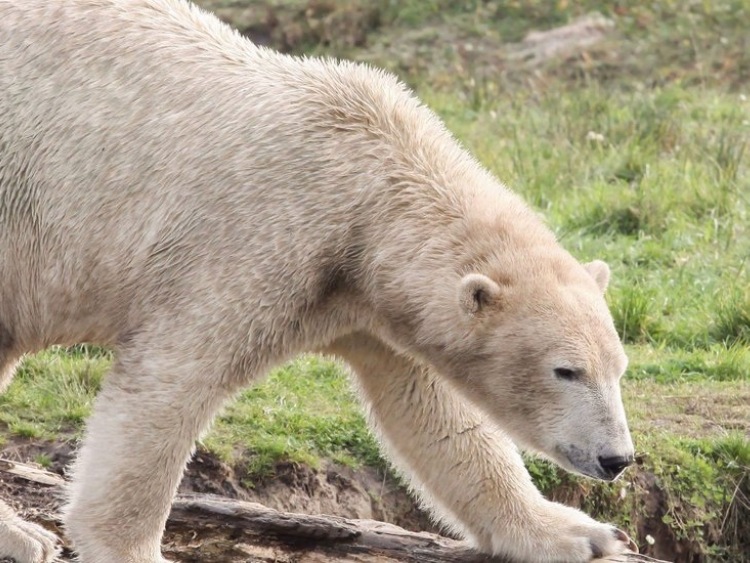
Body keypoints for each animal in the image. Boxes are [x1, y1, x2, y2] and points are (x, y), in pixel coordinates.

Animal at [0, 1, 636, 563]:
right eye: (566, 371)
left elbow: (435, 414)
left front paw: (581, 533)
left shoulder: (365, 301)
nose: (617, 459)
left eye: (618, 367)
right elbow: (169, 382)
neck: (367, 181)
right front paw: (130, 547)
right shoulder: (255, 240)